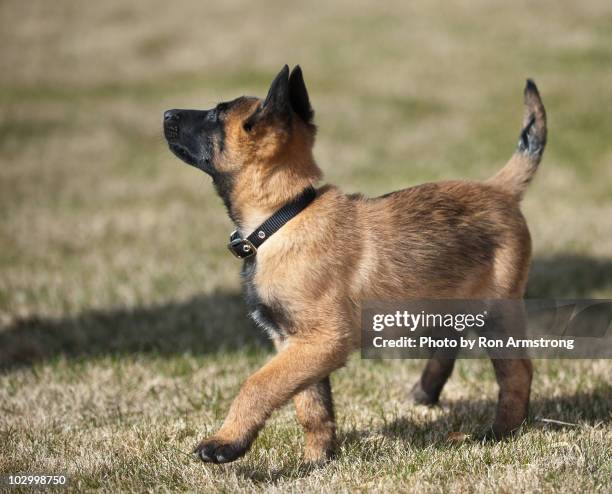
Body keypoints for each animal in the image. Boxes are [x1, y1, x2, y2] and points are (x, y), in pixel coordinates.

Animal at [164, 65, 548, 464]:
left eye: (215, 116)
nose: (166, 114)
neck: (282, 216)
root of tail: (500, 189)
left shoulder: (324, 339)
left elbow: (258, 384)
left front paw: (226, 442)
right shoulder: (293, 342)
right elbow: (312, 407)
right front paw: (317, 459)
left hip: (496, 312)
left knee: (518, 372)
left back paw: (500, 432)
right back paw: (426, 394)